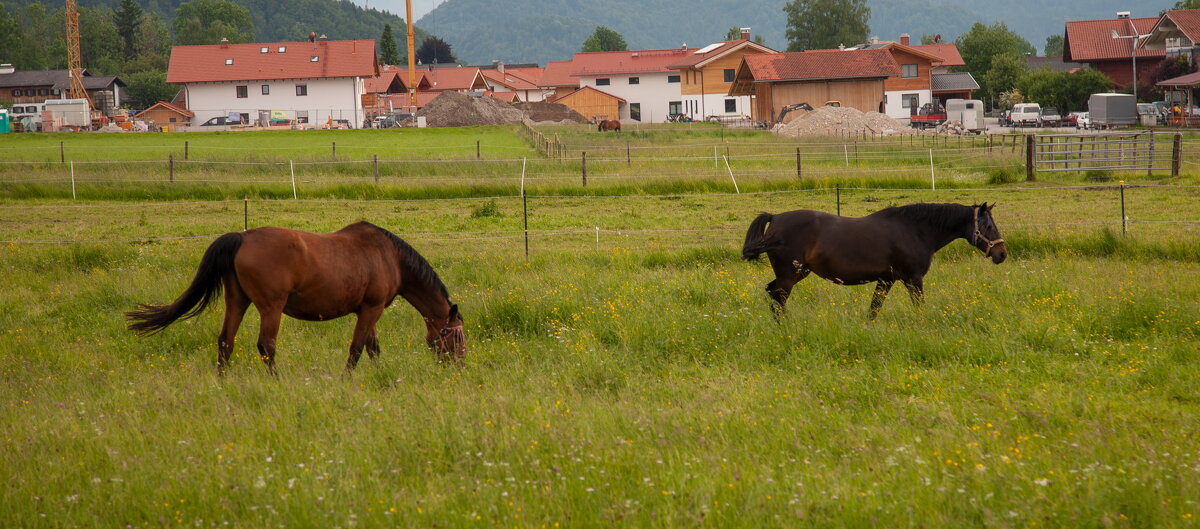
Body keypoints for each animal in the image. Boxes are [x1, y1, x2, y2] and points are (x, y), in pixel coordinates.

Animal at [126, 220, 463, 374]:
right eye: (458, 337)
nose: (460, 366)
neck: (389, 255)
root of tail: (242, 238)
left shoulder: (367, 311)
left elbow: (372, 348)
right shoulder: (372, 308)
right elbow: (357, 349)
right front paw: (347, 381)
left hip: (237, 301)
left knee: (225, 342)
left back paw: (223, 382)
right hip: (270, 308)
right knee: (266, 346)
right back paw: (277, 381)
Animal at [739, 201, 1003, 316]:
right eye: (988, 226)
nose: (1002, 254)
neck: (914, 230)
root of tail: (776, 218)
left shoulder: (886, 280)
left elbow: (874, 308)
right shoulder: (913, 279)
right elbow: (919, 306)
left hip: (795, 274)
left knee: (772, 294)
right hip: (789, 275)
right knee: (778, 298)